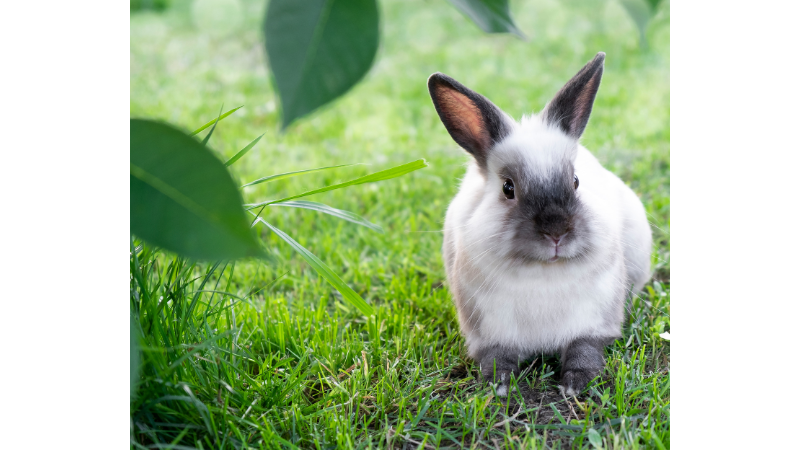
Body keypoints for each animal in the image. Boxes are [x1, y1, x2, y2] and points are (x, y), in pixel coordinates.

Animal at [428, 53, 652, 398]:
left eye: (576, 181)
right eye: (508, 188)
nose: (556, 232)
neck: (543, 273)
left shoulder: (593, 323)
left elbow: (584, 350)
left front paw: (576, 384)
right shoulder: (490, 332)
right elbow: (497, 358)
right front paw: (499, 385)